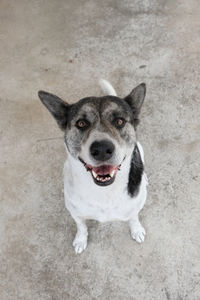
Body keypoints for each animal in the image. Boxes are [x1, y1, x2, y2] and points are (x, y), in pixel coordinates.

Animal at [38, 79, 147, 253]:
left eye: (119, 121)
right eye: (81, 123)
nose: (102, 149)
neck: (103, 192)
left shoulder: (135, 205)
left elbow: (133, 217)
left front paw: (136, 230)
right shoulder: (75, 212)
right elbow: (81, 226)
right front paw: (80, 240)